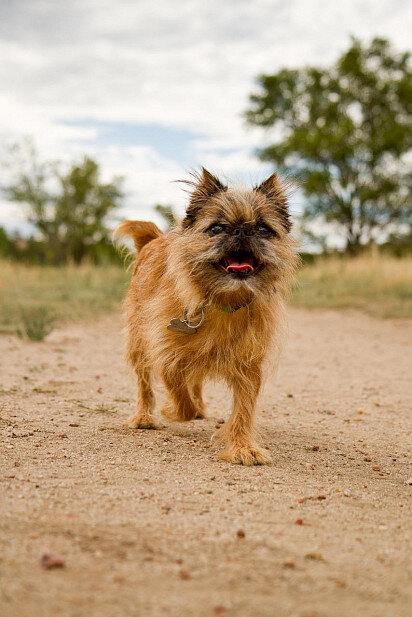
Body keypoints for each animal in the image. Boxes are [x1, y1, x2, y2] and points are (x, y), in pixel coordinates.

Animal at [114, 166, 298, 464]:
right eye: (216, 228)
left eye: (263, 229)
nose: (242, 231)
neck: (225, 301)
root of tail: (153, 240)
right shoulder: (167, 354)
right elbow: (180, 395)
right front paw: (171, 411)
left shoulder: (249, 366)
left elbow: (243, 409)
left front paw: (243, 446)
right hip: (138, 343)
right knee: (144, 383)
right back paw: (144, 416)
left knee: (196, 379)